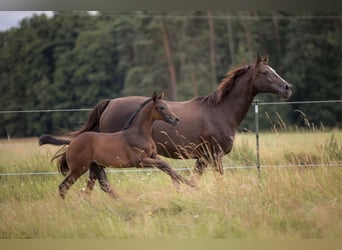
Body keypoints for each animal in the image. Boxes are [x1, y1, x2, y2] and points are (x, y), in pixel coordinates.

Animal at [40, 55, 292, 186]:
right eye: (266, 73)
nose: (287, 88)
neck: (219, 112)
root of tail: (109, 103)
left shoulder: (202, 158)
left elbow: (193, 177)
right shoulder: (215, 155)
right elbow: (217, 177)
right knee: (96, 177)